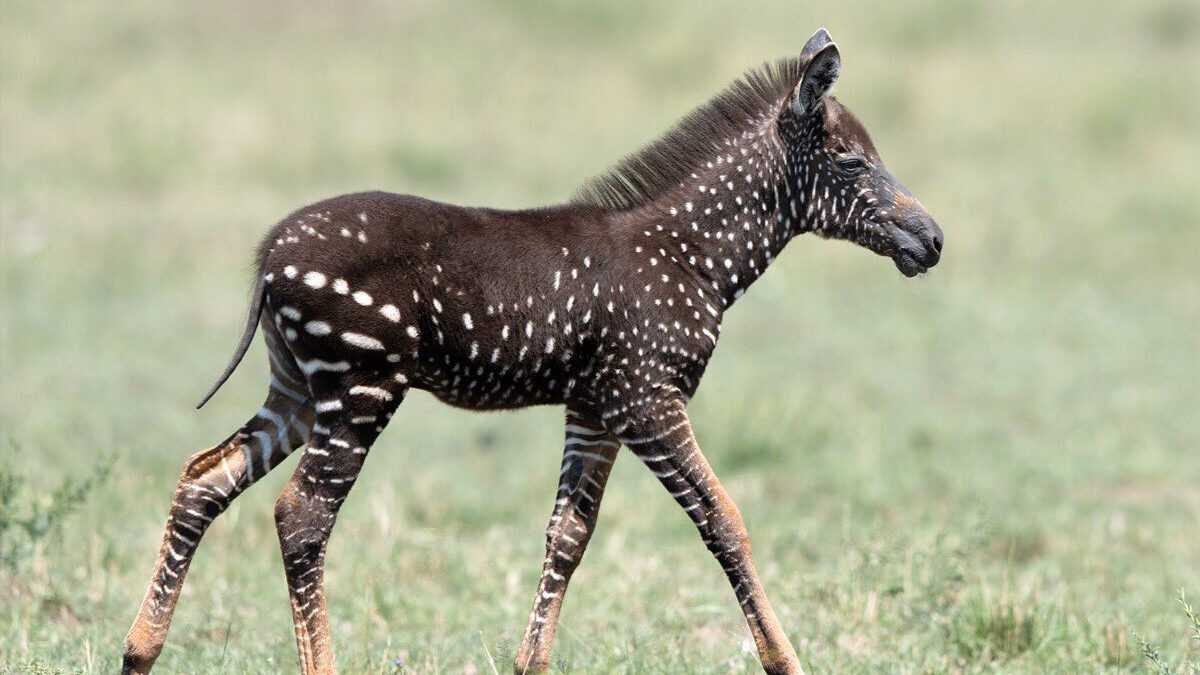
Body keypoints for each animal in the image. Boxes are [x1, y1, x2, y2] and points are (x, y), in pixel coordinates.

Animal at [124, 27, 945, 672]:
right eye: (850, 163)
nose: (933, 240)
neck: (692, 257)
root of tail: (269, 257)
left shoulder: (597, 407)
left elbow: (567, 538)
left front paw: (529, 662)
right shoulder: (648, 399)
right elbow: (725, 521)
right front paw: (786, 660)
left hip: (298, 392)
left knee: (202, 480)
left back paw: (138, 652)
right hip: (359, 389)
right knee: (301, 517)